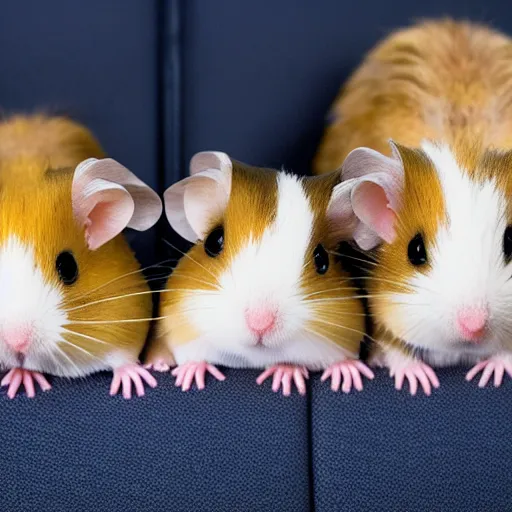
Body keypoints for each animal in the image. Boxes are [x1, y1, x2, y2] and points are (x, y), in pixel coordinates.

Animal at [0, 114, 162, 398]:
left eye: (68, 267)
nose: (16, 340)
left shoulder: (128, 313)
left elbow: (125, 357)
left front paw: (134, 384)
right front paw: (21, 382)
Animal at [312, 20, 512, 394]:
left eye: (511, 243)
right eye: (415, 250)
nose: (474, 325)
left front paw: (492, 371)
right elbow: (390, 342)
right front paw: (418, 379)